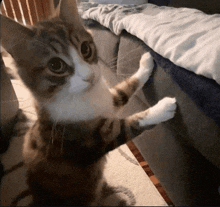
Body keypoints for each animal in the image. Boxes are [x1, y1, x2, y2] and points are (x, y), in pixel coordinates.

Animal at [0, 0, 176, 205]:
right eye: (55, 65)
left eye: (85, 48)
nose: (90, 76)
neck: (85, 96)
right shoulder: (93, 139)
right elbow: (128, 125)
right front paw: (163, 108)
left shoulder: (109, 100)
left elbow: (125, 89)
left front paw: (145, 64)